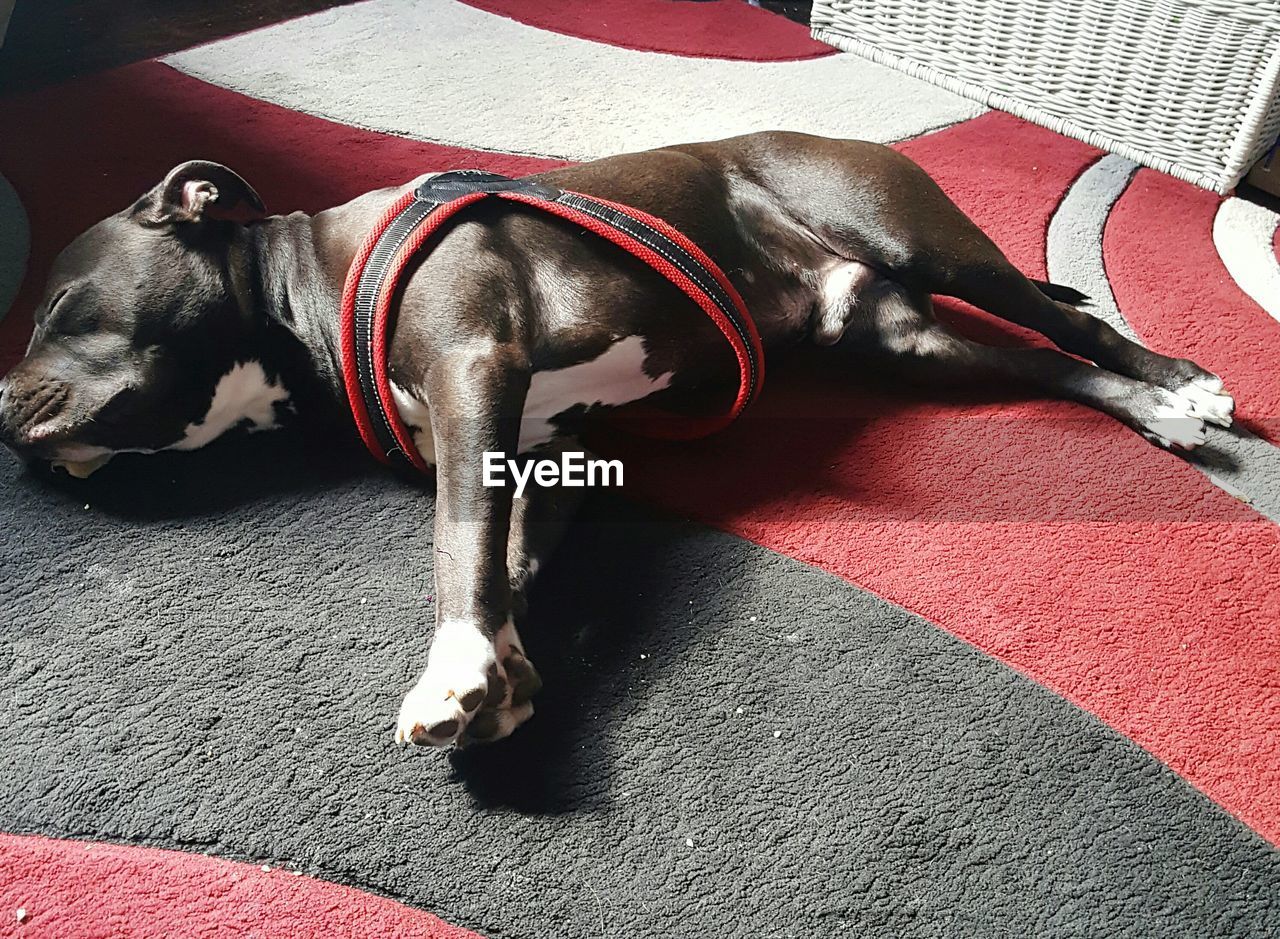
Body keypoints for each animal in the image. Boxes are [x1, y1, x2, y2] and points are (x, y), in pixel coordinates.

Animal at [0, 134, 1239, 752]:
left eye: (56, 306)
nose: (1, 404)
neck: (308, 292)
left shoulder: (473, 371)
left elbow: (458, 541)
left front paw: (454, 667)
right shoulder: (538, 444)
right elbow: (505, 555)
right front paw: (498, 670)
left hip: (917, 238)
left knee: (1064, 321)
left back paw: (1180, 381)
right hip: (900, 340)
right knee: (1041, 365)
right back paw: (1156, 412)